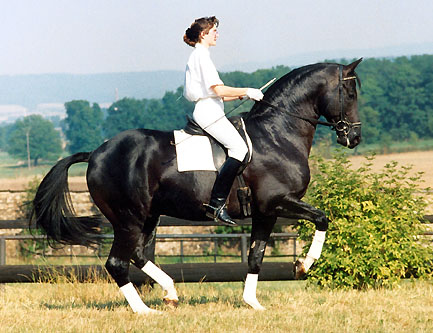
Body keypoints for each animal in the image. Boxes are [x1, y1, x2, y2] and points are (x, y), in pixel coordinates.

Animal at [31, 59, 362, 312]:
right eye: (349, 92)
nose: (354, 138)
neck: (277, 134)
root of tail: (96, 153)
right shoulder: (277, 202)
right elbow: (322, 218)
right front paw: (304, 265)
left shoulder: (265, 212)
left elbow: (256, 256)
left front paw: (252, 303)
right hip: (128, 218)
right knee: (116, 263)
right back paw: (144, 310)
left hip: (148, 216)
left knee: (138, 255)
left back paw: (170, 292)